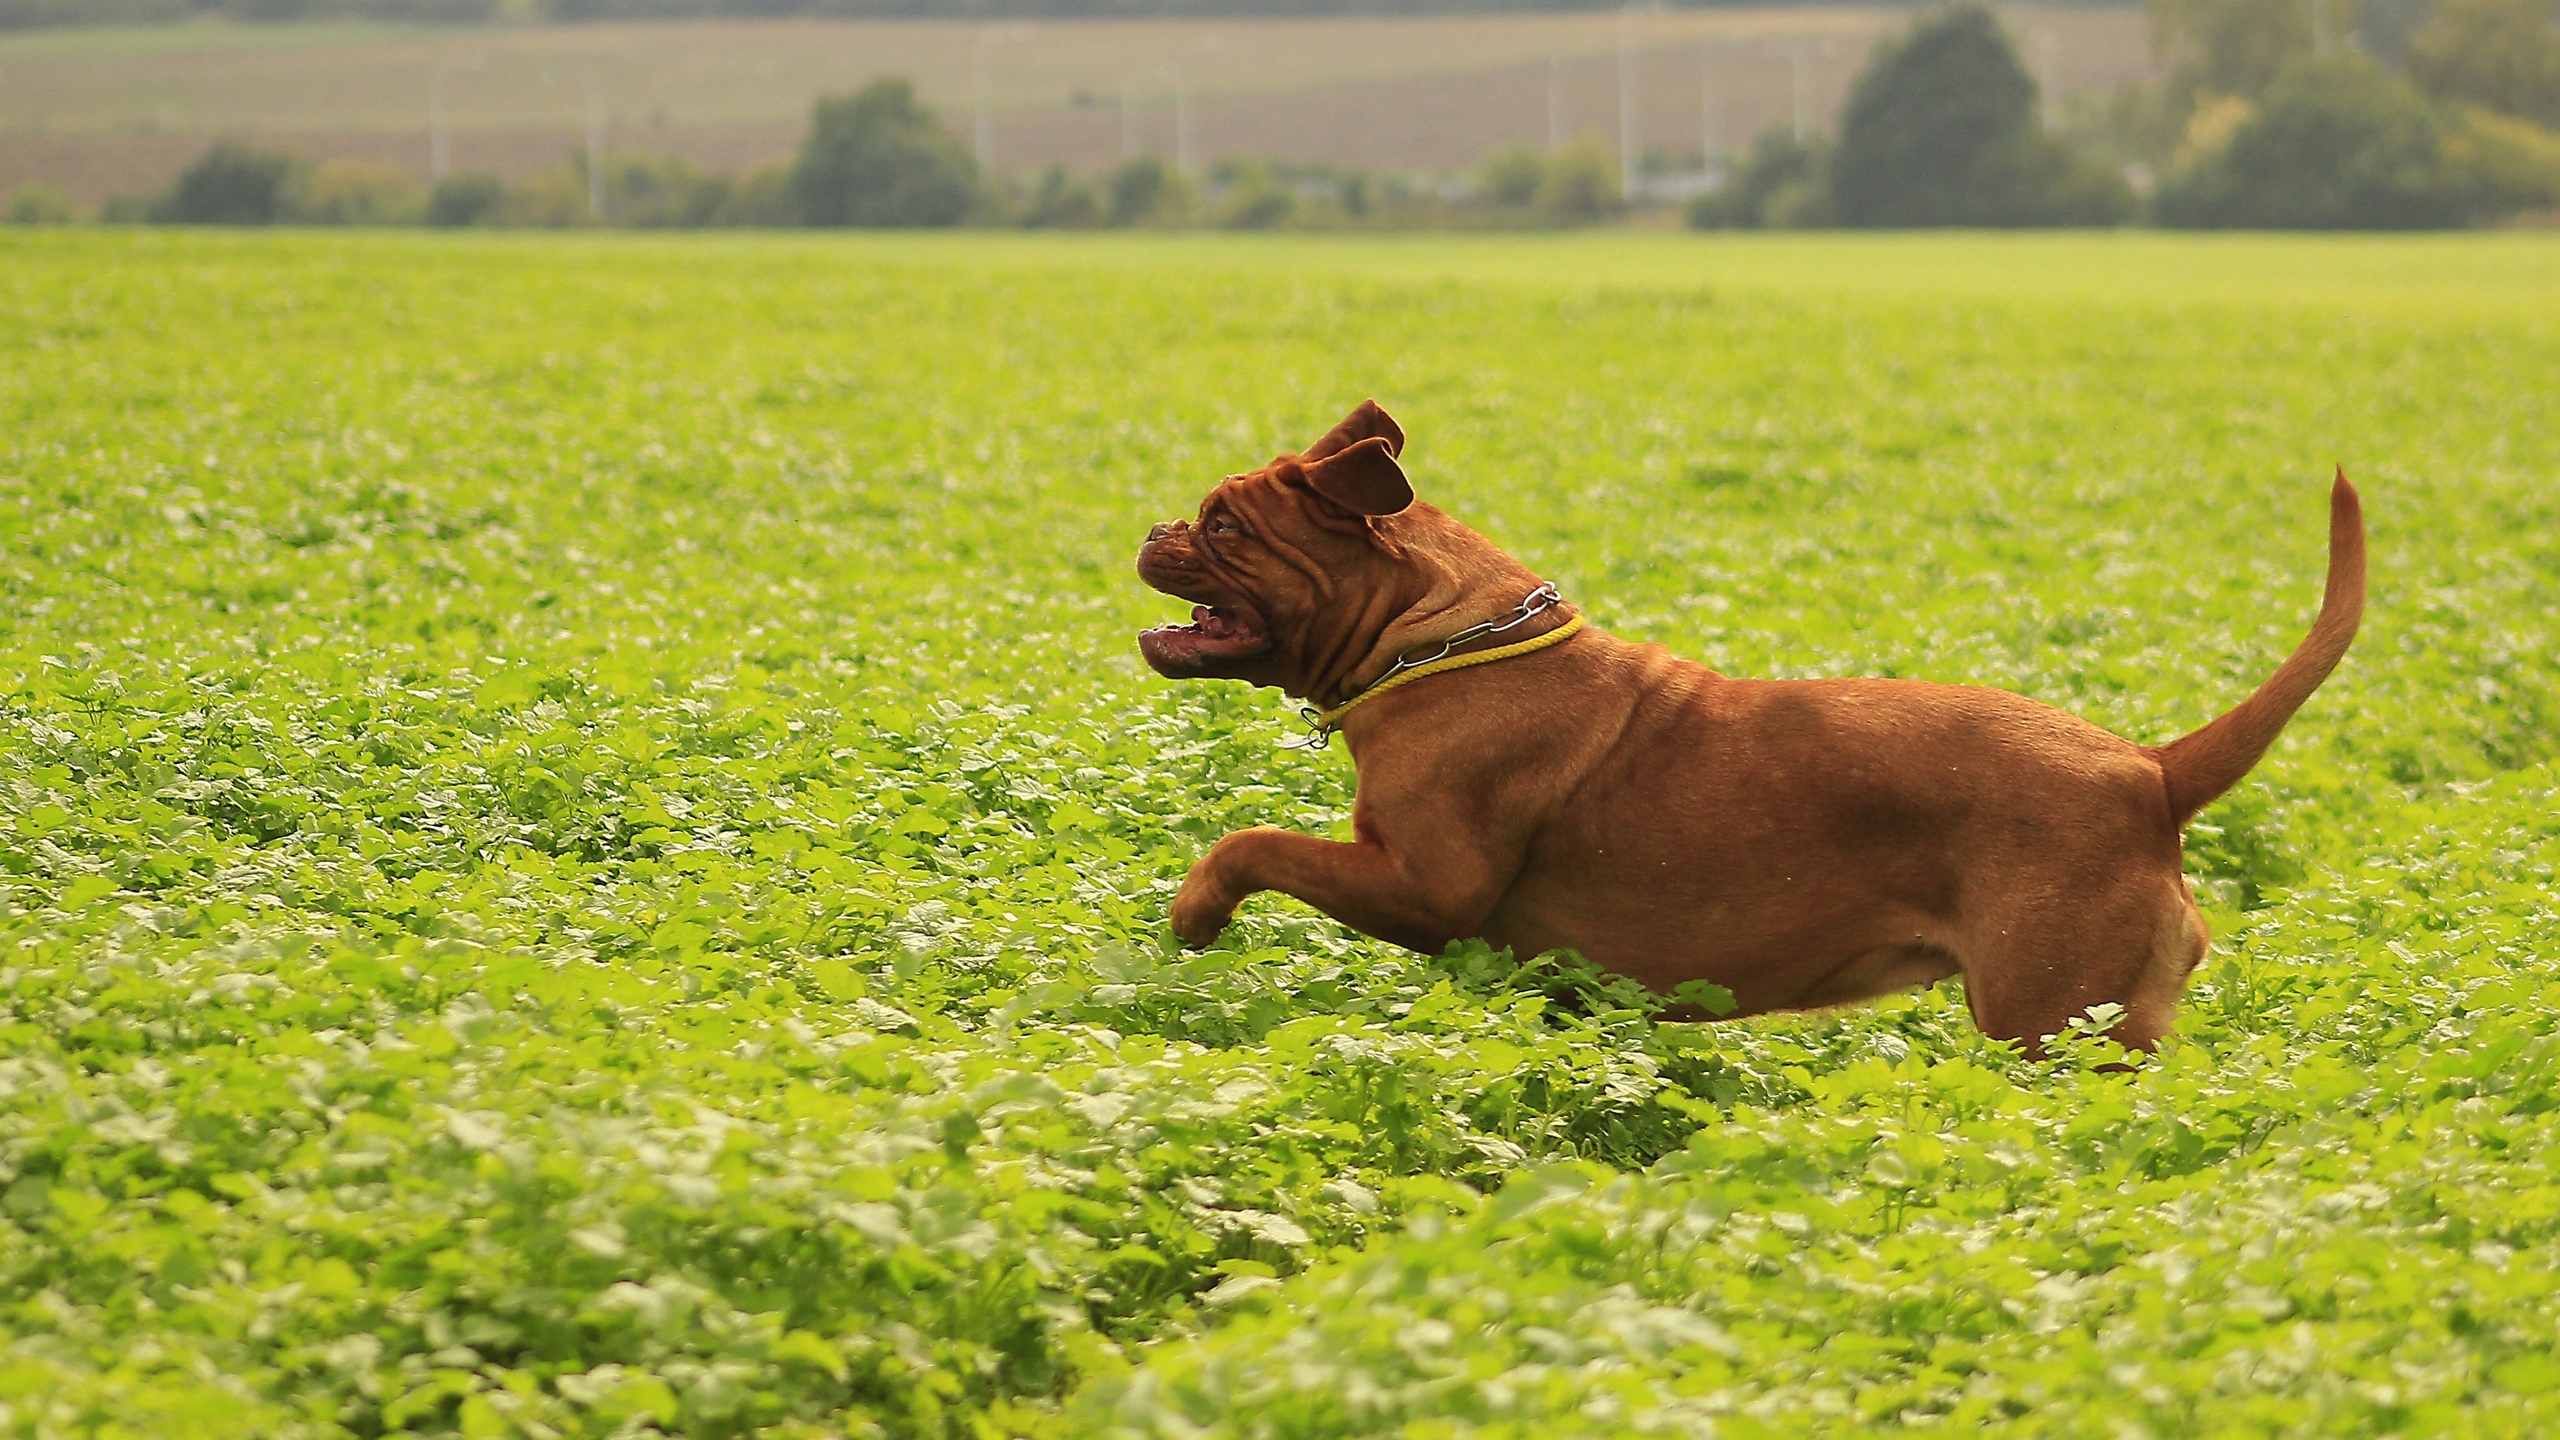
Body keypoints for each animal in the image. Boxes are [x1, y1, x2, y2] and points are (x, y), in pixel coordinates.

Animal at [1131, 397, 2365, 1050]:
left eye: (1223, 525)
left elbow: (1252, 842)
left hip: (2050, 1019)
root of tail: (2150, 776)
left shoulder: (1420, 886)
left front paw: (1194, 912)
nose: (1152, 526)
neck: (1435, 636)